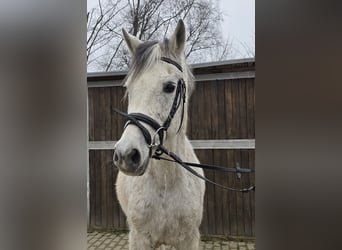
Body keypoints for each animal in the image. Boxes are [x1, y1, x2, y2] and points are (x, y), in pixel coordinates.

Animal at [114, 20, 206, 250]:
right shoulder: (139, 238)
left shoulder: (189, 239)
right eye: (129, 88)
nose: (126, 155)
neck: (166, 181)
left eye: (170, 87)